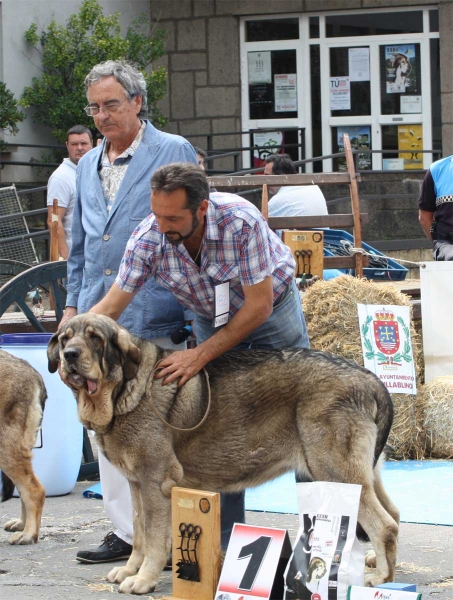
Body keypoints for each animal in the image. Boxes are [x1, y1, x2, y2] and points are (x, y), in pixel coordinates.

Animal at [47, 314, 398, 596]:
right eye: (65, 338)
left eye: (95, 337)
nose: (69, 355)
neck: (123, 390)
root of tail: (371, 379)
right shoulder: (137, 486)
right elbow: (140, 535)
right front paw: (131, 569)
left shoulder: (155, 484)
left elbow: (155, 539)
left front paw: (143, 579)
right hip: (363, 475)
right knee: (393, 514)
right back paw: (379, 564)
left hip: (336, 473)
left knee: (384, 525)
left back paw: (381, 578)